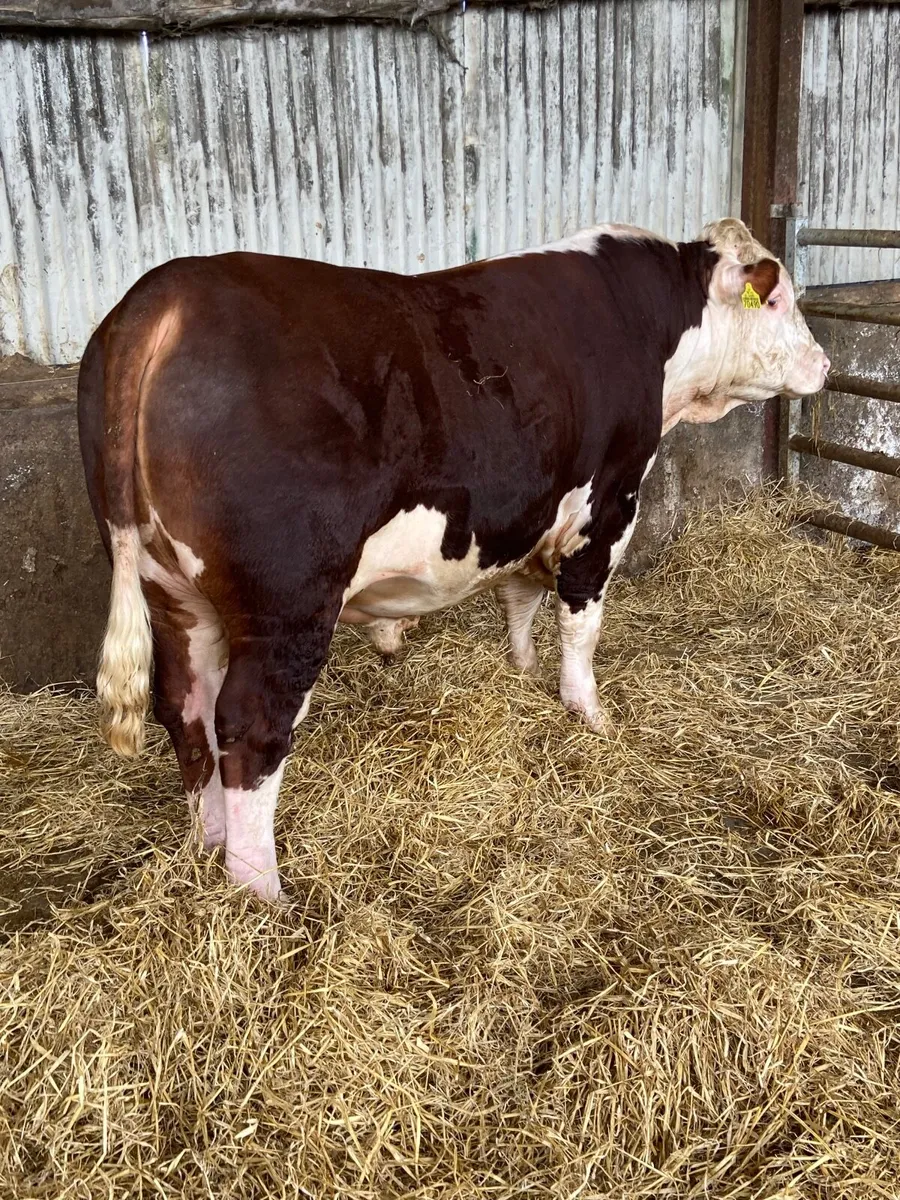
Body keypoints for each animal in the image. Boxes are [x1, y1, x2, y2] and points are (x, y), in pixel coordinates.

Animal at [77, 217, 829, 900]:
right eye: (780, 298)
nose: (824, 364)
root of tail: (166, 295)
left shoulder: (529, 511)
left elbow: (521, 595)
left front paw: (523, 668)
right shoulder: (607, 504)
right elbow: (581, 619)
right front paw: (588, 711)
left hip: (171, 589)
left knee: (187, 706)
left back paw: (207, 844)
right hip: (286, 601)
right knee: (250, 727)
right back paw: (262, 892)